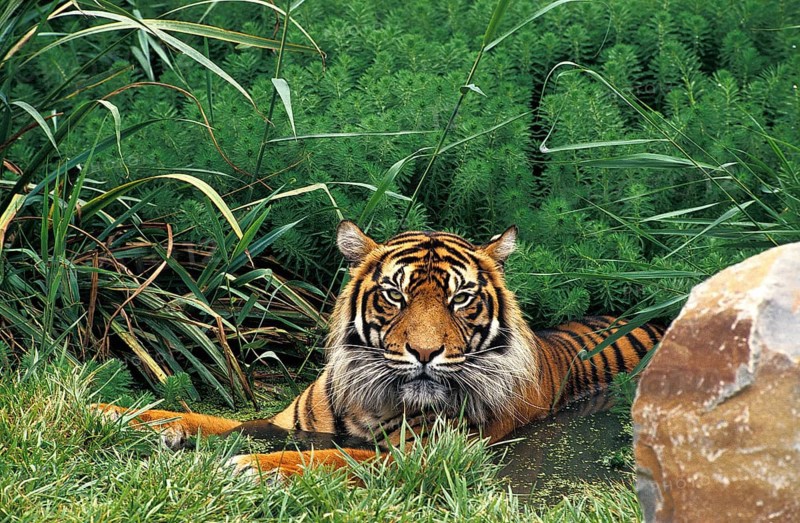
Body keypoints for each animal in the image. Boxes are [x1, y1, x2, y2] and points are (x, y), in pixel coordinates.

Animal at [95, 221, 663, 478]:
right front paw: (115, 413)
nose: (425, 353)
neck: (372, 395)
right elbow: (201, 418)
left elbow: (335, 458)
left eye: (460, 298)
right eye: (396, 294)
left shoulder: (419, 454)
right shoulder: (285, 422)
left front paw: (253, 466)